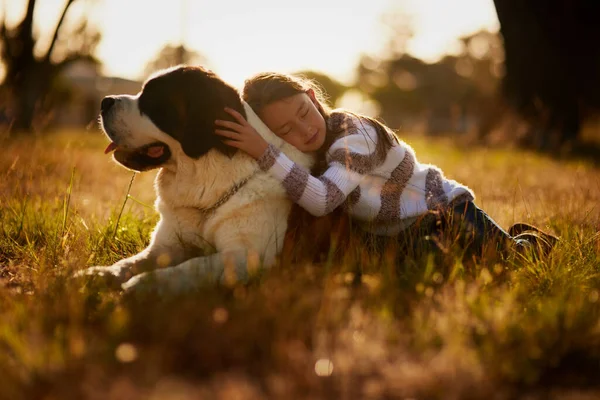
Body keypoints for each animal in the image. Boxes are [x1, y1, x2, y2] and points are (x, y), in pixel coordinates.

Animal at [79, 64, 314, 292]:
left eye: (152, 100)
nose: (105, 101)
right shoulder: (166, 244)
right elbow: (130, 262)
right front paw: (96, 274)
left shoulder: (244, 255)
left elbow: (190, 266)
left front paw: (138, 286)